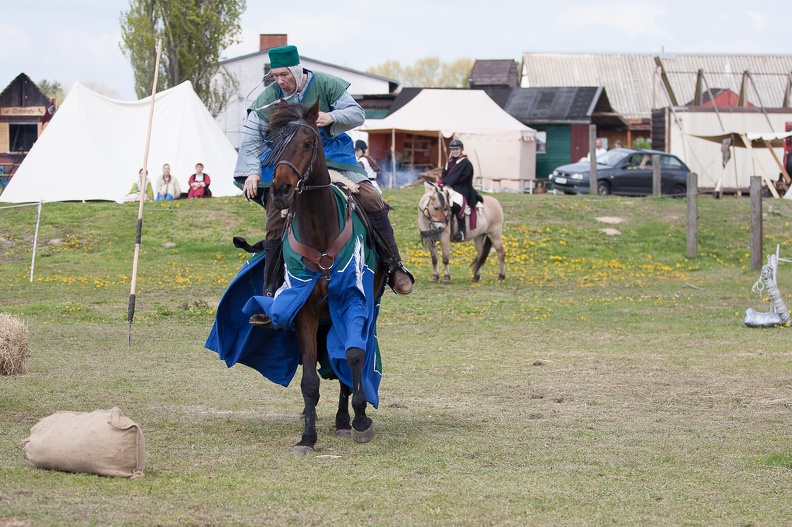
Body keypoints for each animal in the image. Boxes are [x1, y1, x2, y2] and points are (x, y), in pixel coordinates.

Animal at [270, 101, 386, 456]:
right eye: (273, 145)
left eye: (308, 143)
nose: (280, 190)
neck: (321, 233)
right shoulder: (303, 312)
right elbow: (310, 378)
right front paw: (307, 436)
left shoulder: (352, 300)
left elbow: (354, 355)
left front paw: (360, 419)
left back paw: (345, 420)